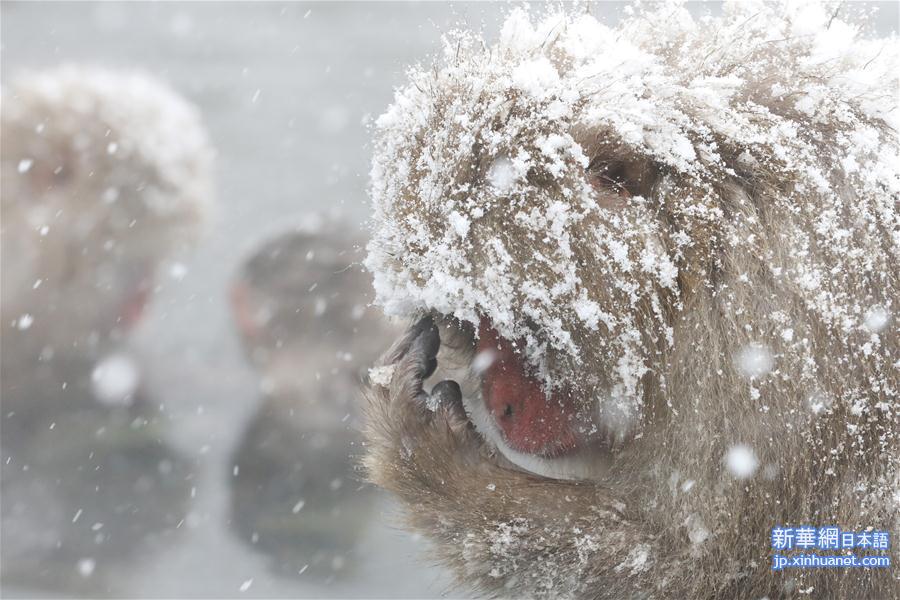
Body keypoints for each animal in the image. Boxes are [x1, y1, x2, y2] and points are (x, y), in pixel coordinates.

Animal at [362, 5, 896, 600]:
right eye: (475, 326)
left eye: (521, 325)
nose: (500, 406)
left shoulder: (772, 361)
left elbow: (699, 569)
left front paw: (426, 457)